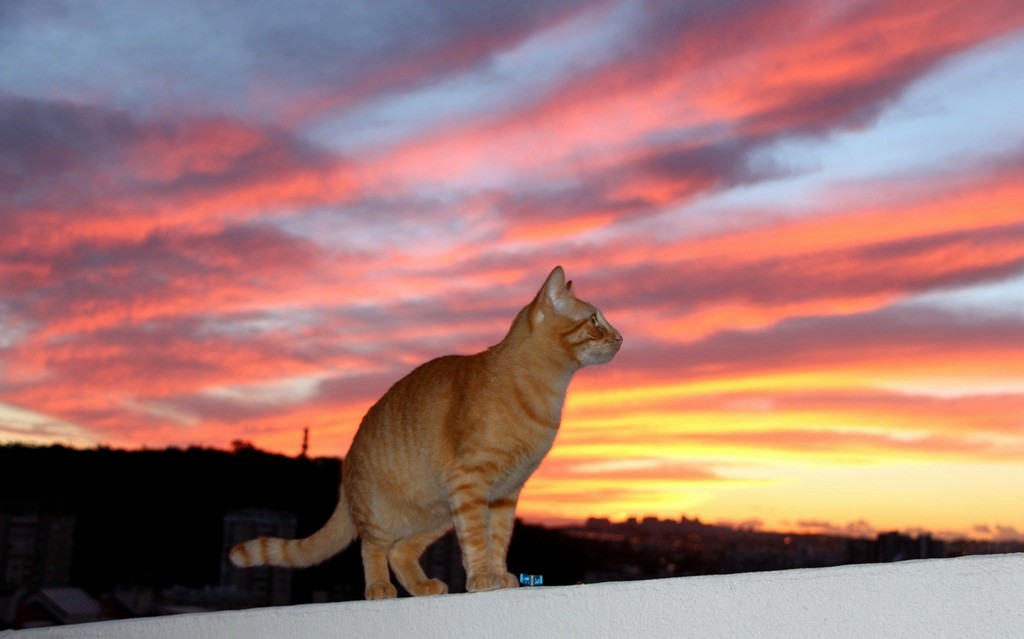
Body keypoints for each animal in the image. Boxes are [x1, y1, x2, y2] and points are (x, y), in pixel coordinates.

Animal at [228, 266, 618, 598]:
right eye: (595, 320)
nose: (621, 337)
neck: (543, 391)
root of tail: (346, 473)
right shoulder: (471, 481)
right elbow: (477, 539)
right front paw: (482, 577)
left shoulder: (505, 493)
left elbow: (498, 538)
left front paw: (498, 574)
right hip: (385, 513)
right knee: (373, 547)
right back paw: (379, 587)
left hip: (437, 514)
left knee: (401, 551)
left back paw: (422, 586)